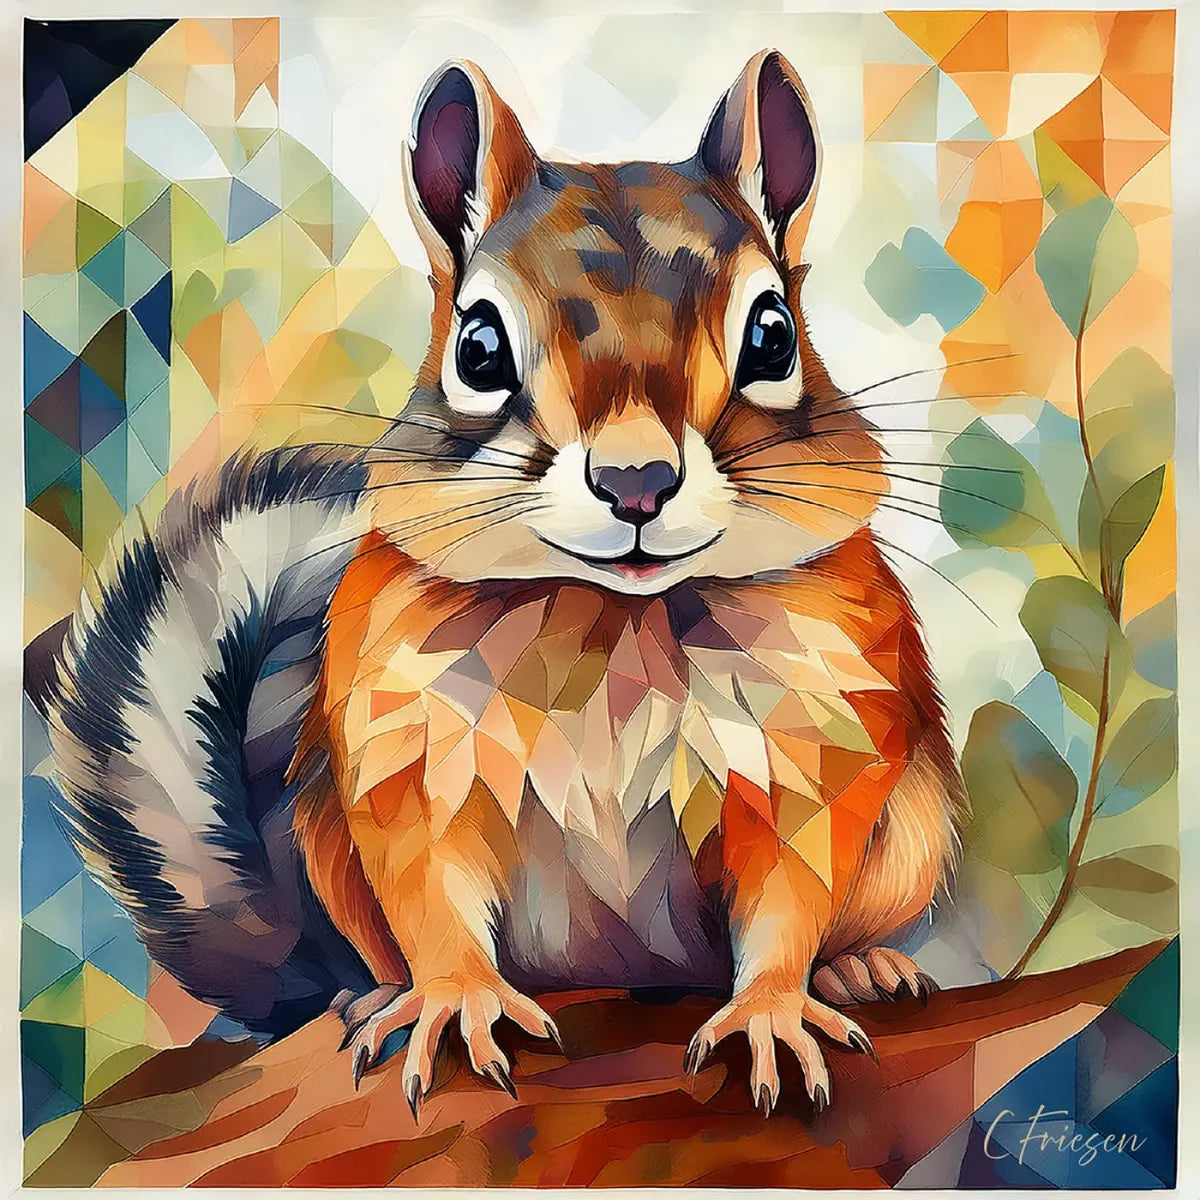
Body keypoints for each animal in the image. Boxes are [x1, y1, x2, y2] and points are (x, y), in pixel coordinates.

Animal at [47, 49, 967, 1116]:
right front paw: (455, 1000)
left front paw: (774, 1008)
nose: (636, 481)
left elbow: (790, 898)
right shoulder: (409, 762)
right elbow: (432, 895)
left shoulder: (810, 761)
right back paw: (368, 996)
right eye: (477, 347)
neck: (621, 624)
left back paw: (862, 967)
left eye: (774, 334)